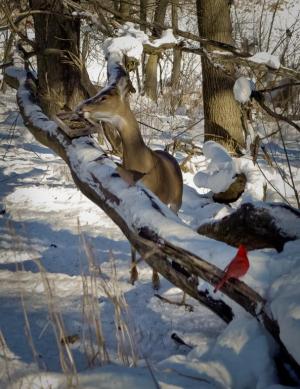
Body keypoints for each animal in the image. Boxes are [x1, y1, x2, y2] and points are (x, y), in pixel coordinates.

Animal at [76, 71, 183, 288]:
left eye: (105, 96)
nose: (80, 108)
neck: (141, 165)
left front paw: (156, 280)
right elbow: (133, 241)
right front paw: (133, 276)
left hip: (176, 200)